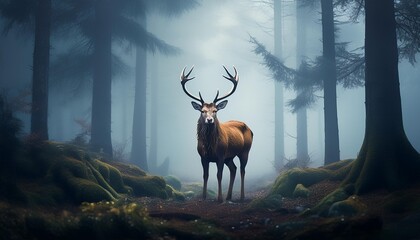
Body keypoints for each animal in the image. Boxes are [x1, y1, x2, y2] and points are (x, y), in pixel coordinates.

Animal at [180, 66, 253, 202]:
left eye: (215, 110)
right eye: (202, 111)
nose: (209, 120)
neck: (210, 146)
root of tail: (250, 130)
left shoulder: (221, 155)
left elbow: (219, 175)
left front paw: (219, 198)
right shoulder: (203, 157)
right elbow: (205, 175)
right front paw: (204, 197)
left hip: (245, 151)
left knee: (242, 170)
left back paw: (241, 196)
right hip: (229, 157)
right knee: (234, 169)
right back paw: (229, 196)